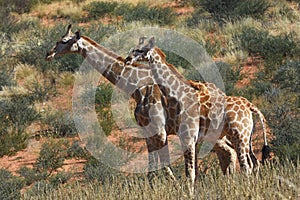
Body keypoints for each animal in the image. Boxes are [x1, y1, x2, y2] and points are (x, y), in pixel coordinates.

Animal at [125, 37, 270, 175]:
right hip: (246, 137)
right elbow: (193, 172)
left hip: (239, 136)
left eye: (140, 50)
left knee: (246, 166)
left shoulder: (188, 137)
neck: (179, 95)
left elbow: (190, 172)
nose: (127, 60)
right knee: (254, 163)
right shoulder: (190, 139)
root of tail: (250, 106)